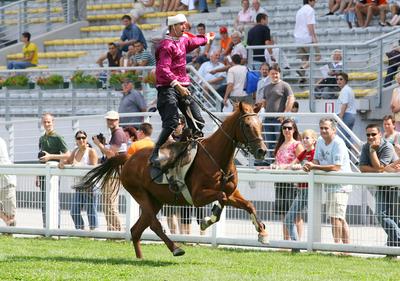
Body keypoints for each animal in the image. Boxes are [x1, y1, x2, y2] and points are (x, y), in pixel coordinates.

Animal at [76, 101, 270, 258]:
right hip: (140, 195)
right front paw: (208, 221)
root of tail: (128, 158)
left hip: (155, 200)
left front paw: (262, 233)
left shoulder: (232, 193)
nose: (262, 150)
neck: (216, 157)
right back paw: (176, 248)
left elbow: (248, 204)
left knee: (136, 229)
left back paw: (140, 258)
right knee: (153, 224)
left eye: (261, 124)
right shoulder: (198, 197)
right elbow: (221, 197)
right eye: (247, 125)